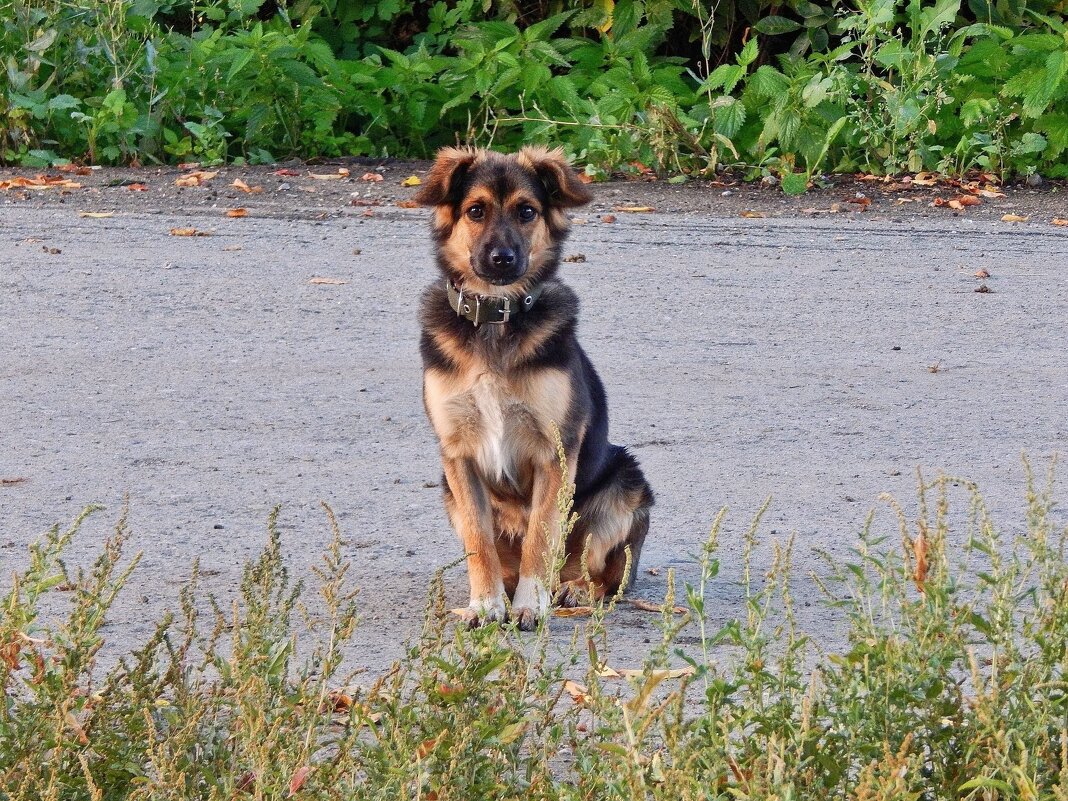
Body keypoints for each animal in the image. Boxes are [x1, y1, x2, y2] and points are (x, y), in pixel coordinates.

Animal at [414, 147, 649, 632]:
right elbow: (479, 540)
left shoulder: (554, 452)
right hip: (447, 489)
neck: (496, 318)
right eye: (475, 211)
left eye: (527, 212)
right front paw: (486, 604)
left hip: (626, 483)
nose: (502, 258)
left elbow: (541, 538)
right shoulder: (458, 455)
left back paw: (571, 589)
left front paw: (530, 605)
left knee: (599, 572)